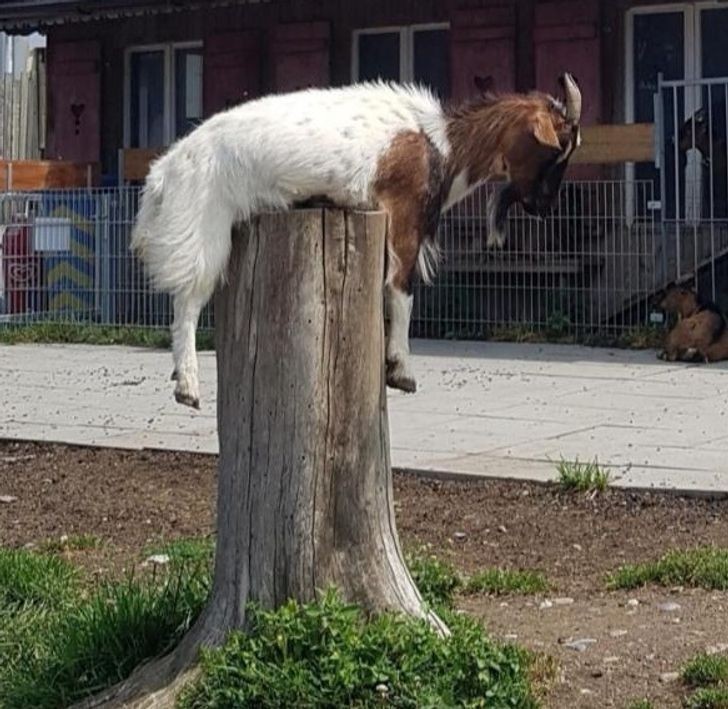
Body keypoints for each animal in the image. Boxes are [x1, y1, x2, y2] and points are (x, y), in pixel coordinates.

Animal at [131, 74, 584, 406]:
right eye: (559, 148)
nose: (545, 206)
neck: (441, 145)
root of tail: (166, 170)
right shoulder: (402, 216)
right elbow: (400, 292)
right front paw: (401, 371)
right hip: (202, 226)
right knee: (187, 302)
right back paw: (187, 386)